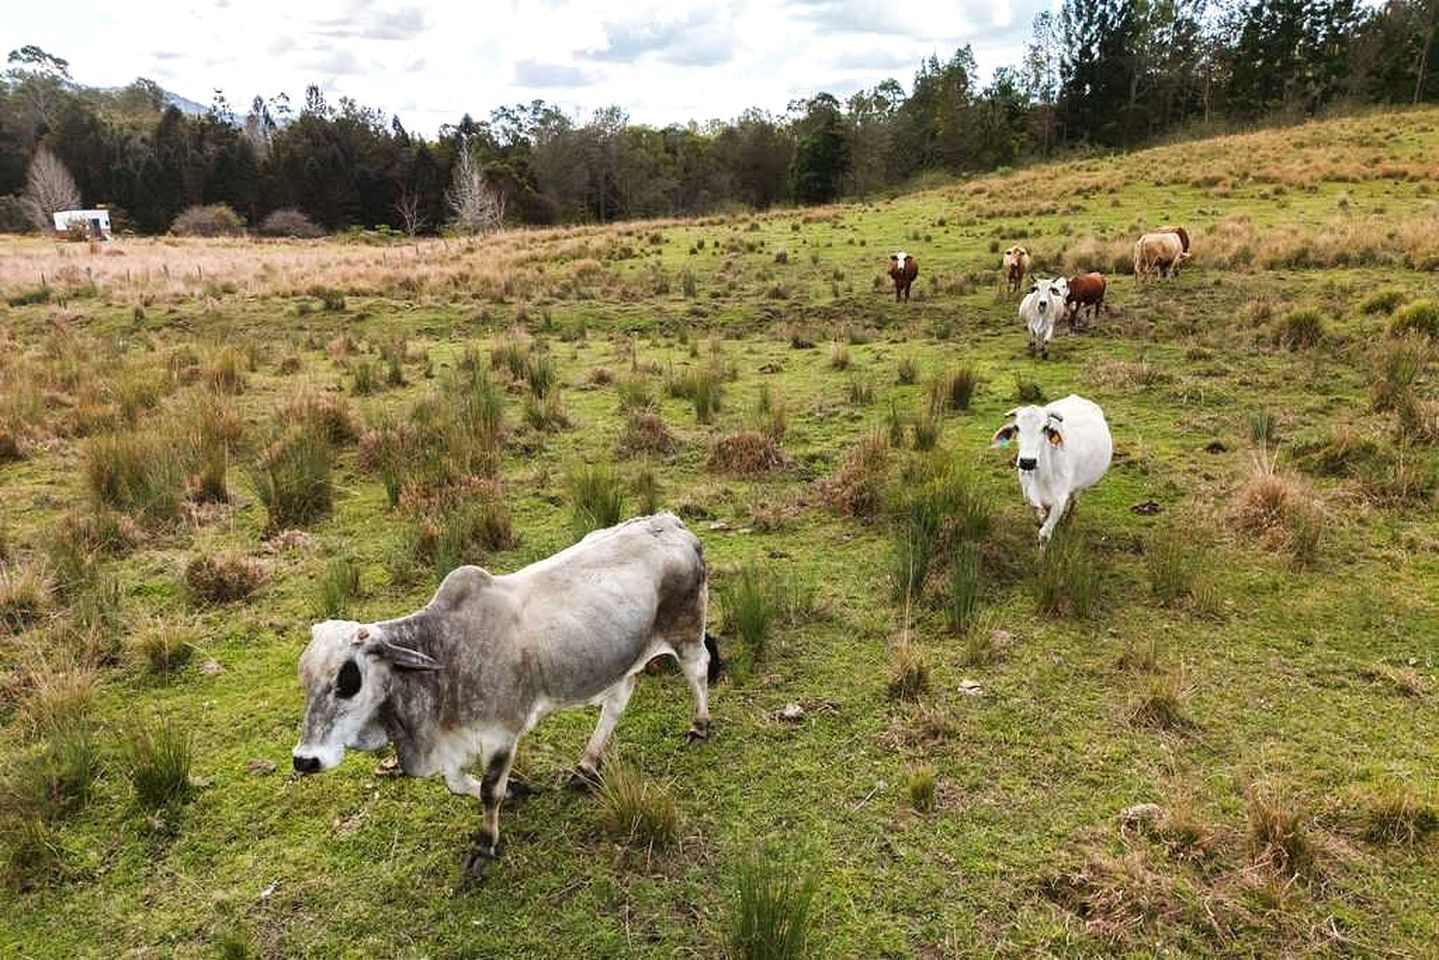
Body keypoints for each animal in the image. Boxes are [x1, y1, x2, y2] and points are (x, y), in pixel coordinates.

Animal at [292, 513, 718, 875]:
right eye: (305, 680)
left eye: (348, 680)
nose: (304, 760)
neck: (446, 652)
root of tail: (668, 521)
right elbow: (459, 783)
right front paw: (517, 790)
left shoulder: (502, 733)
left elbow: (487, 790)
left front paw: (485, 845)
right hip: (622, 654)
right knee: (617, 699)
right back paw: (587, 765)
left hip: (686, 629)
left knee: (698, 670)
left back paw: (699, 726)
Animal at [990, 394, 1113, 542]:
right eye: (1017, 427)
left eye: (1044, 428)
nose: (1027, 462)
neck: (1043, 475)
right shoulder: (1029, 495)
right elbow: (1041, 519)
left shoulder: (1059, 500)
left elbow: (1044, 534)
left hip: (1079, 485)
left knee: (1074, 500)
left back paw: (1067, 522)